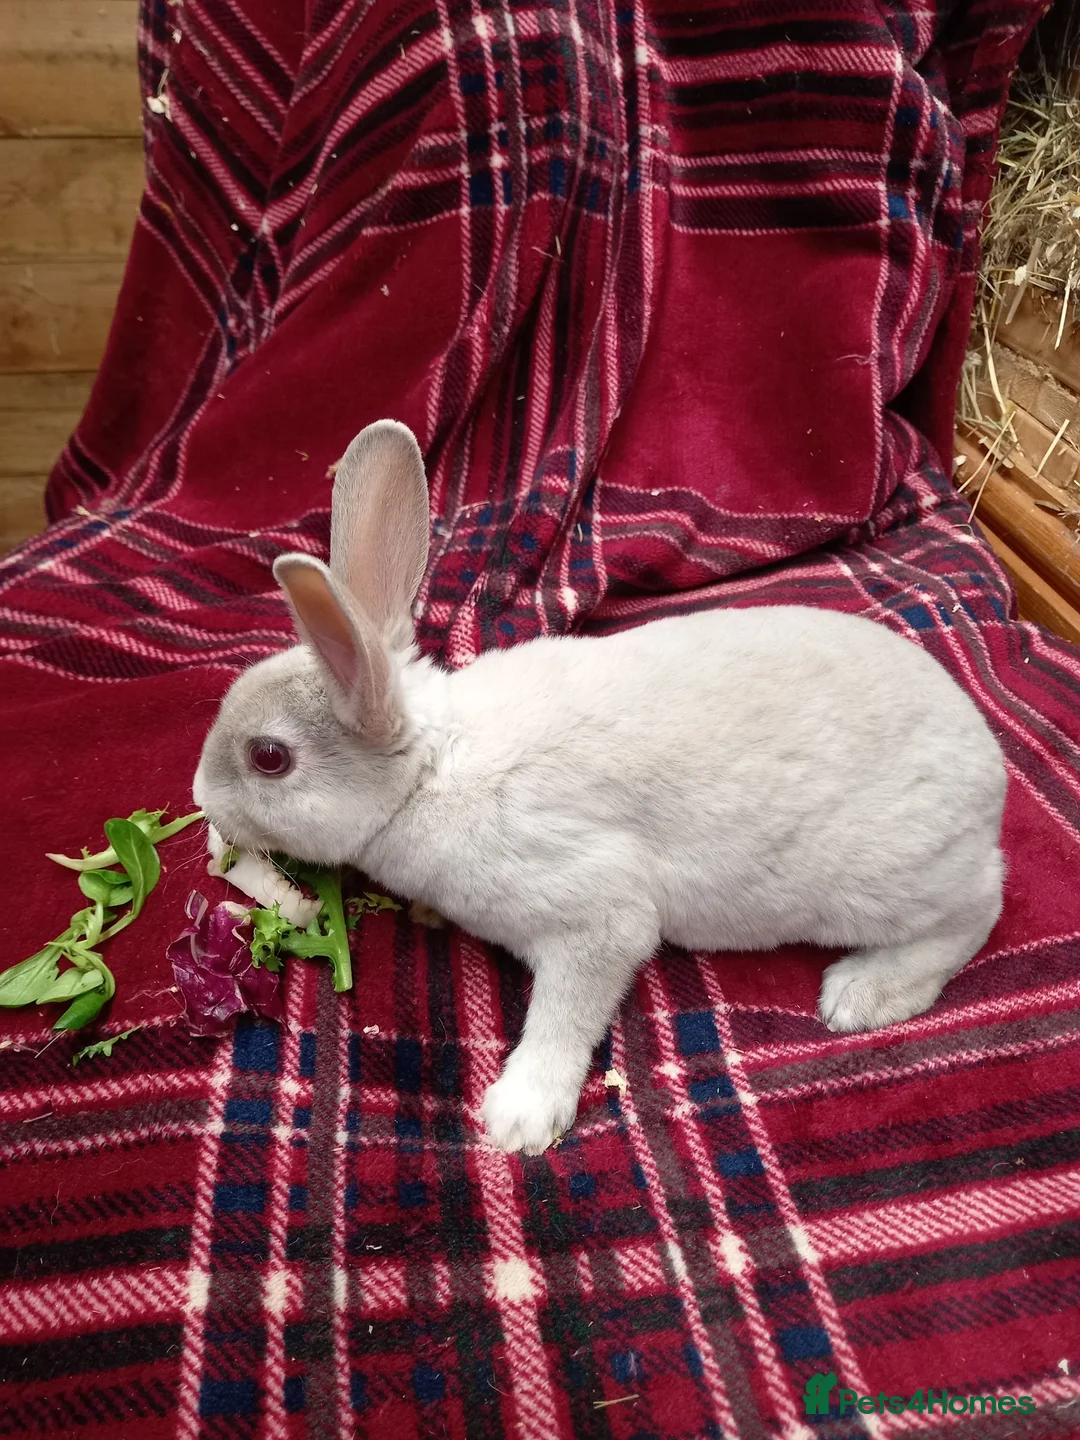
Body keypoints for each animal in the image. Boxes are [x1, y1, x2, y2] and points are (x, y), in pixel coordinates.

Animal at [193, 420, 1007, 1154]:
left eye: (270, 758)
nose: (200, 798)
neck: (426, 772)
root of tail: (991, 776)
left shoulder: (597, 917)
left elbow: (565, 1014)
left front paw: (519, 1119)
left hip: (885, 882)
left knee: (976, 912)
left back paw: (860, 995)